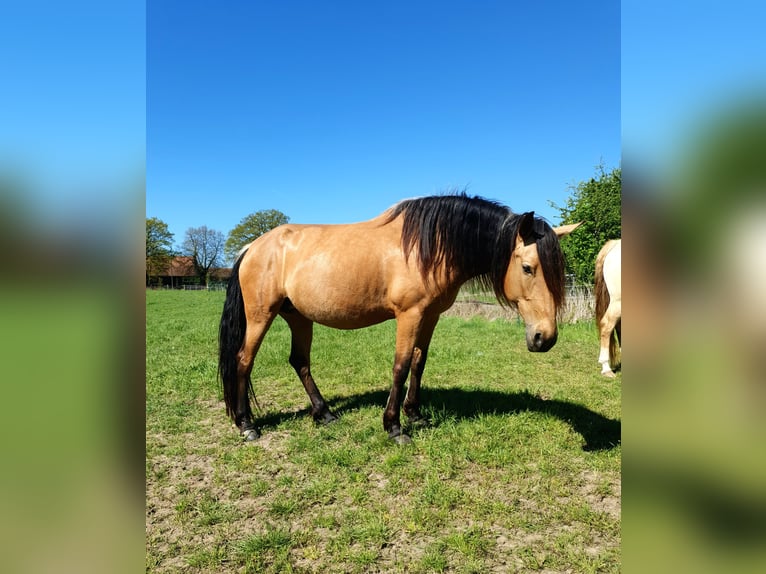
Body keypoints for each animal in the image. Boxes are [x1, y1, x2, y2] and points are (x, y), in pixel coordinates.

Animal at [218, 193, 580, 444]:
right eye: (528, 268)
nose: (545, 337)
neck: (431, 246)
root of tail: (252, 247)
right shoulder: (409, 315)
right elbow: (401, 365)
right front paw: (393, 426)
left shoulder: (430, 316)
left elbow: (419, 363)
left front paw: (415, 415)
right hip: (261, 315)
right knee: (243, 360)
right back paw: (247, 424)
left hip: (298, 317)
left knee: (300, 362)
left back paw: (324, 414)